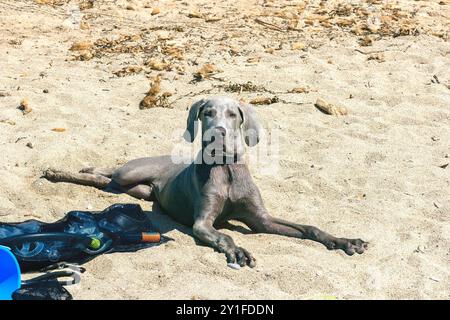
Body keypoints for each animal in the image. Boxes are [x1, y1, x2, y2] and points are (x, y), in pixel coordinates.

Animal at [44, 95, 368, 268]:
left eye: (233, 114)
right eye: (207, 112)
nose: (218, 132)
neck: (226, 170)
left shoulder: (261, 220)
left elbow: (309, 227)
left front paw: (345, 241)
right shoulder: (202, 223)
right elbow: (224, 236)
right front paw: (238, 251)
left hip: (141, 191)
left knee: (108, 182)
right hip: (131, 172)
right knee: (107, 173)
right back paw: (59, 172)